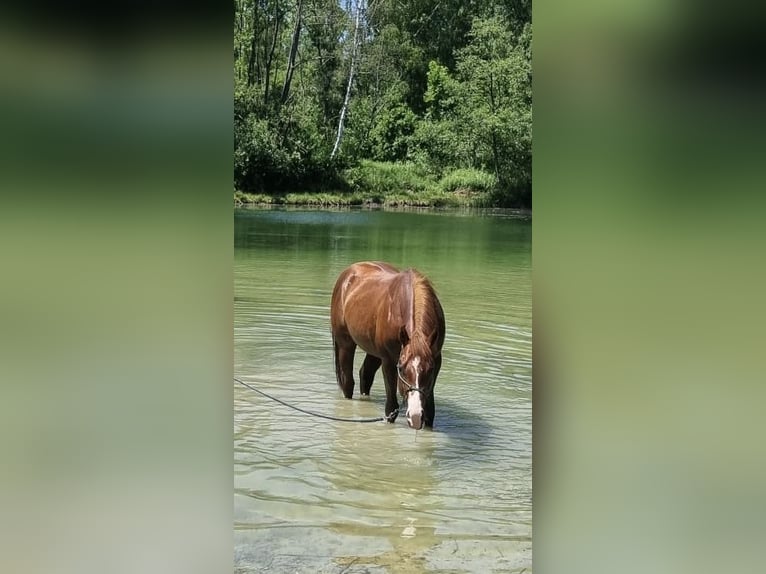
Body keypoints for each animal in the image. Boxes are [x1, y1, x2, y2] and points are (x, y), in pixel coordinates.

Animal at [330, 261, 446, 429]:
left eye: (430, 370)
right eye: (402, 369)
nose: (415, 416)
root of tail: (349, 272)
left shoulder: (437, 360)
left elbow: (430, 411)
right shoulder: (389, 360)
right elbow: (391, 408)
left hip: (373, 352)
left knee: (365, 375)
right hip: (346, 344)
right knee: (348, 382)